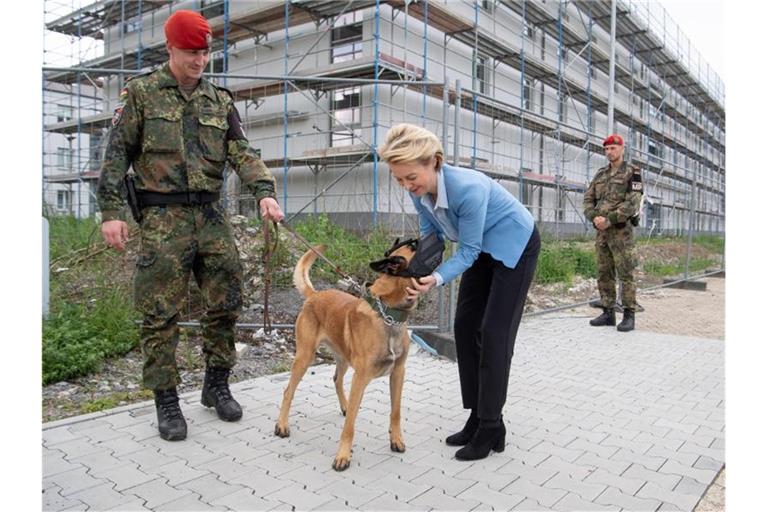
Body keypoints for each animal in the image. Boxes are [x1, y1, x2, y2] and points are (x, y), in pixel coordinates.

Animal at [274, 242, 420, 470]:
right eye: (414, 246)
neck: (388, 316)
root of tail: (314, 295)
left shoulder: (398, 373)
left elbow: (395, 412)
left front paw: (396, 439)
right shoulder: (360, 379)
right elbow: (350, 424)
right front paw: (343, 455)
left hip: (342, 357)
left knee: (336, 379)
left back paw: (343, 405)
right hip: (305, 357)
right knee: (288, 390)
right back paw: (282, 425)